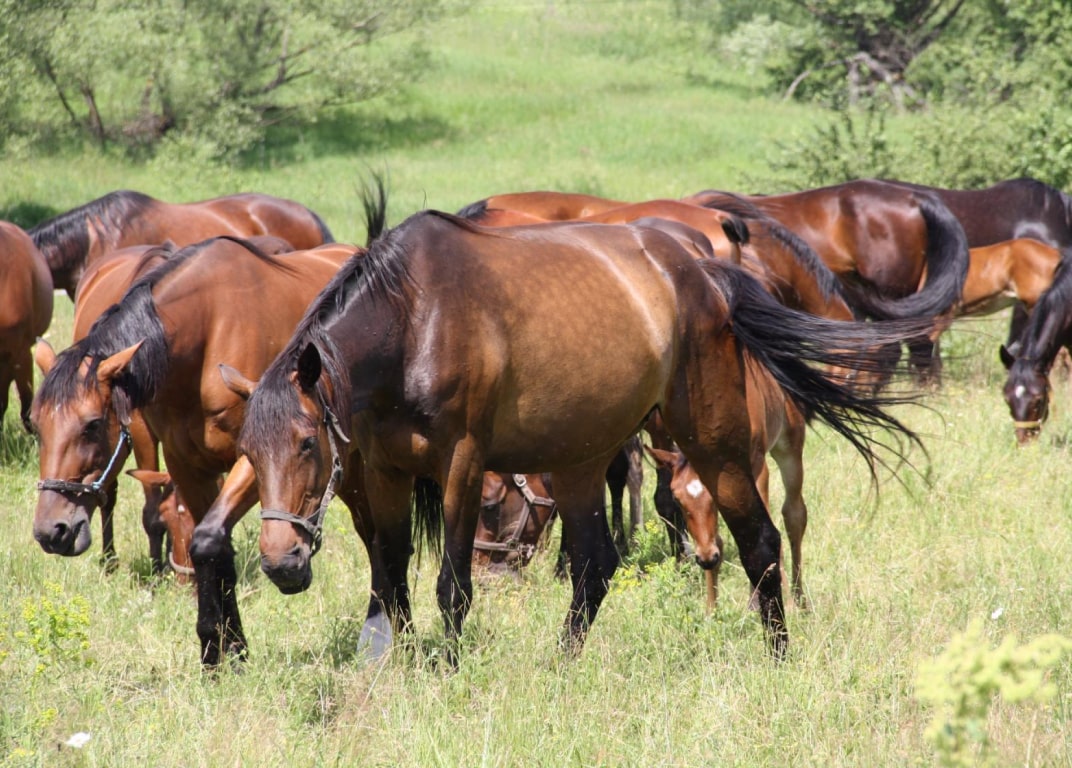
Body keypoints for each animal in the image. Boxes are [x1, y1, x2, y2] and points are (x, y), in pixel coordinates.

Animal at [29, 235, 361, 666]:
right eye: (35, 424)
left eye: (93, 425)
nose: (52, 531)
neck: (208, 333)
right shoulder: (186, 465)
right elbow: (212, 546)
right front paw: (226, 648)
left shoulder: (253, 461)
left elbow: (207, 540)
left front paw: (219, 645)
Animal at [223, 203, 925, 664]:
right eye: (248, 454)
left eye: (307, 444)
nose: (281, 564)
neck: (414, 320)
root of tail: (704, 275)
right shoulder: (386, 468)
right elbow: (391, 580)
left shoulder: (461, 465)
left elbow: (452, 585)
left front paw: (449, 670)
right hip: (580, 460)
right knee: (596, 563)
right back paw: (563, 660)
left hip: (715, 445)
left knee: (761, 541)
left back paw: (777, 655)